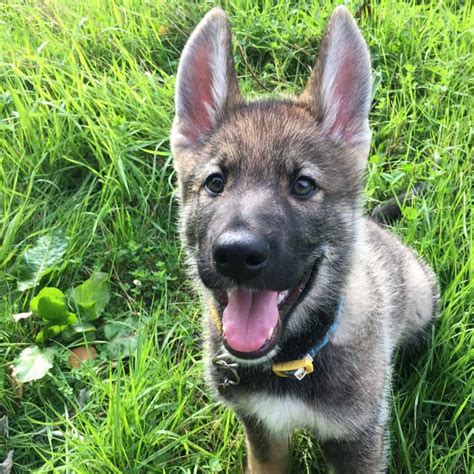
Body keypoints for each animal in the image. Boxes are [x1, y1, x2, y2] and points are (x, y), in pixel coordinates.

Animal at [168, 5, 438, 472]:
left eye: (303, 185)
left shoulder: (357, 440)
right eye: (215, 183)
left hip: (421, 296)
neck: (291, 361)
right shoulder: (262, 434)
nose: (236, 254)